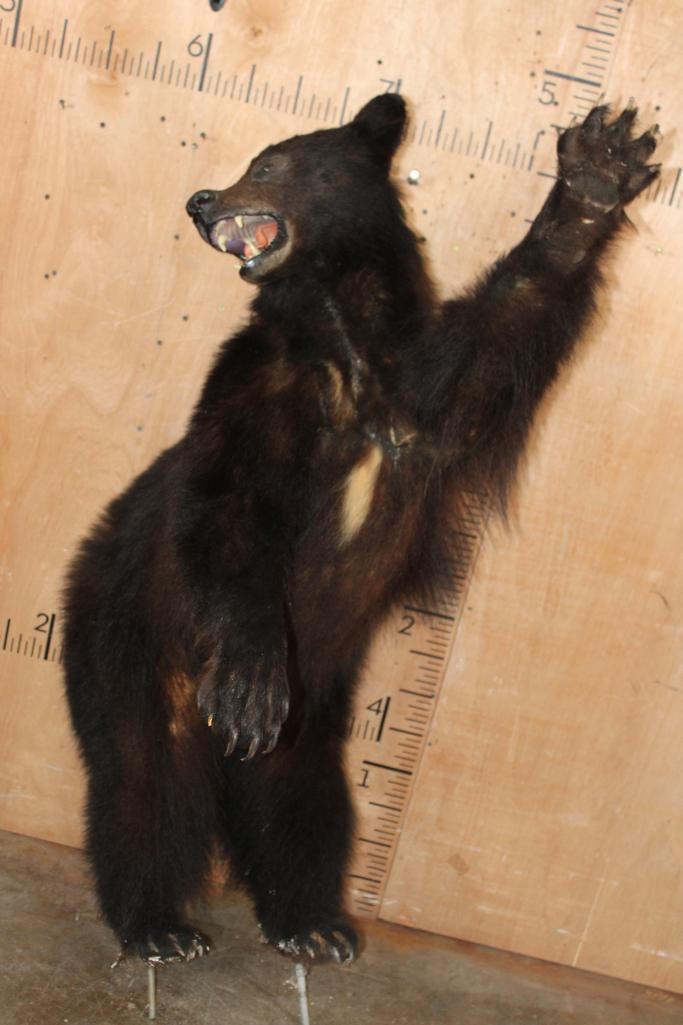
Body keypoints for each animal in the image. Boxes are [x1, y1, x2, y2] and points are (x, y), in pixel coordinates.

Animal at [63, 94, 659, 966]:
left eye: (269, 161)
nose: (201, 200)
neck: (341, 341)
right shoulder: (258, 386)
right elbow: (230, 502)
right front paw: (247, 679)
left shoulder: (421, 399)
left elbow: (496, 342)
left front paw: (594, 172)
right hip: (128, 624)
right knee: (144, 773)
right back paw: (159, 922)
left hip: (310, 712)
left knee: (300, 798)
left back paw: (311, 920)